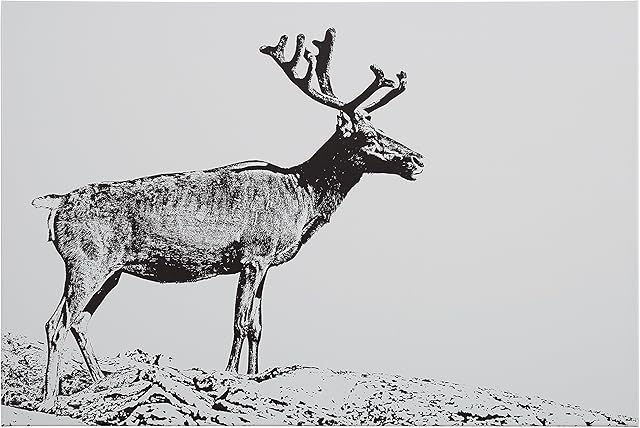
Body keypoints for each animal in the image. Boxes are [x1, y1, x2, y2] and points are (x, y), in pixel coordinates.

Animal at [32, 28, 424, 411]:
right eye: (367, 136)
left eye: (384, 130)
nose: (418, 159)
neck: (303, 198)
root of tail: (57, 203)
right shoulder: (253, 255)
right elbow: (240, 322)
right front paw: (228, 375)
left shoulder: (268, 263)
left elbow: (258, 326)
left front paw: (254, 376)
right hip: (86, 262)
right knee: (59, 323)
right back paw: (50, 400)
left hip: (110, 271)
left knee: (75, 321)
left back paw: (101, 382)